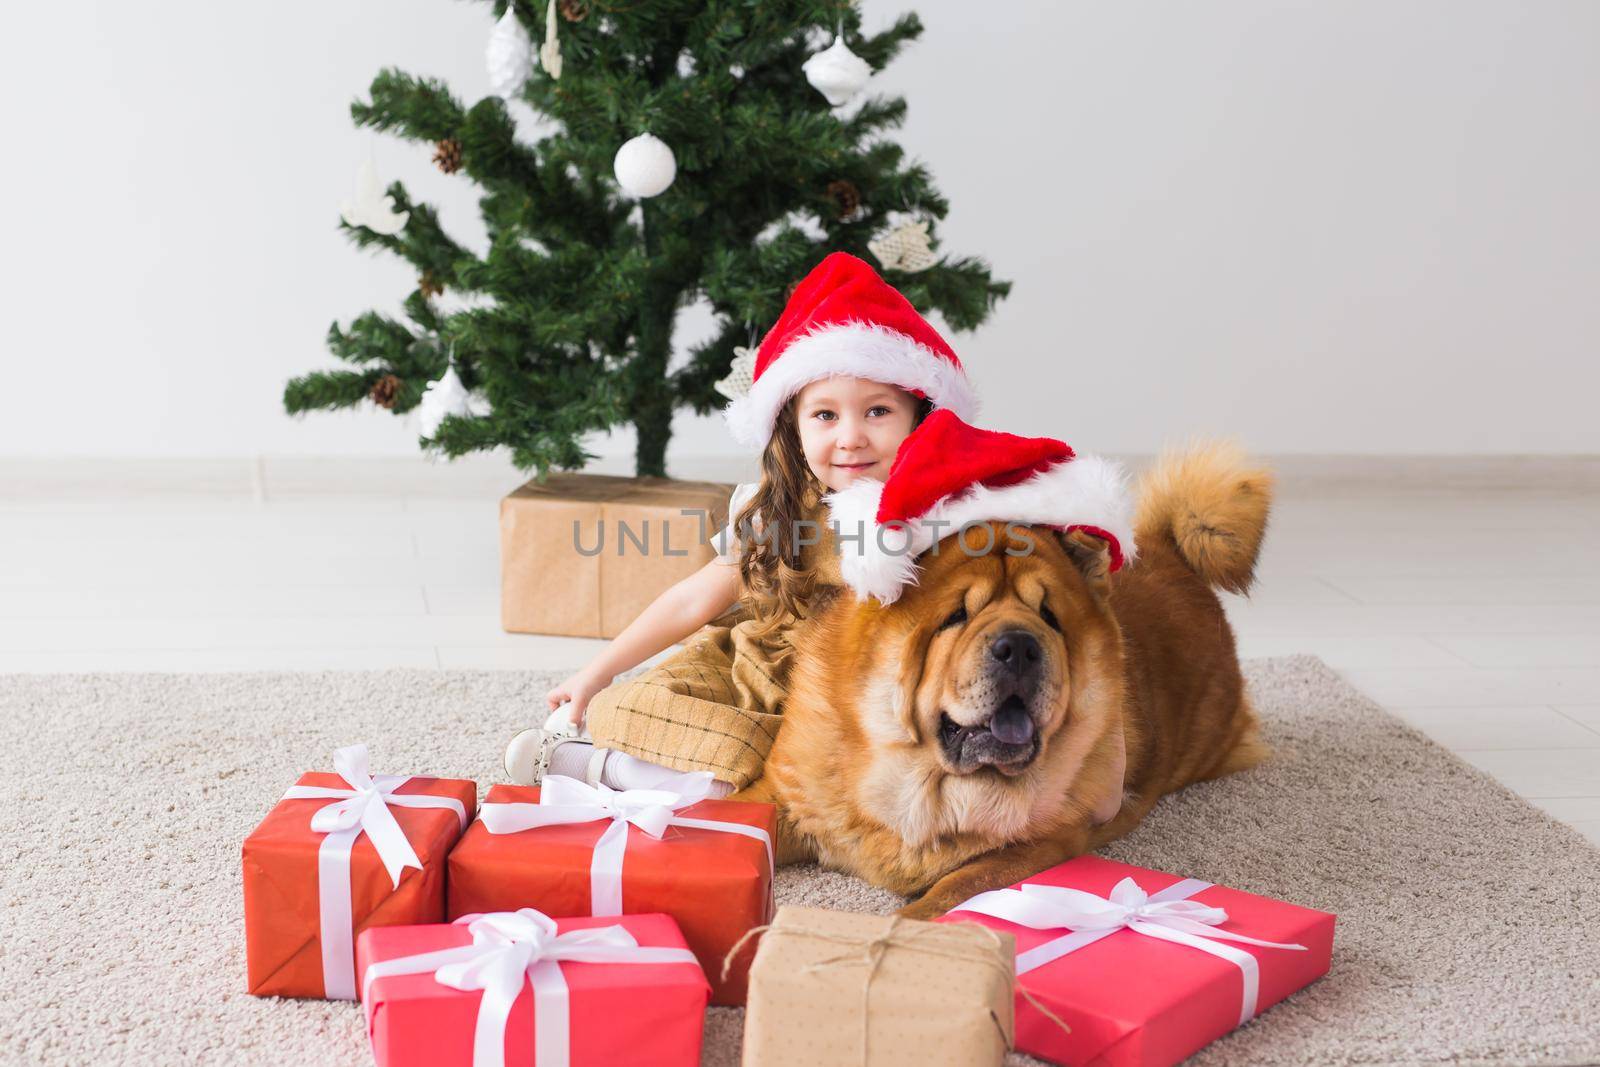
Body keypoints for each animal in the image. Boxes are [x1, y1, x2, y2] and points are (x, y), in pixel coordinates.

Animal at [732, 441, 1273, 921]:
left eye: (1050, 617)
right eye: (956, 615)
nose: (1019, 646)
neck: (923, 785)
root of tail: (1173, 552)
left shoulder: (1039, 846)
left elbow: (956, 887)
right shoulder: (781, 796)